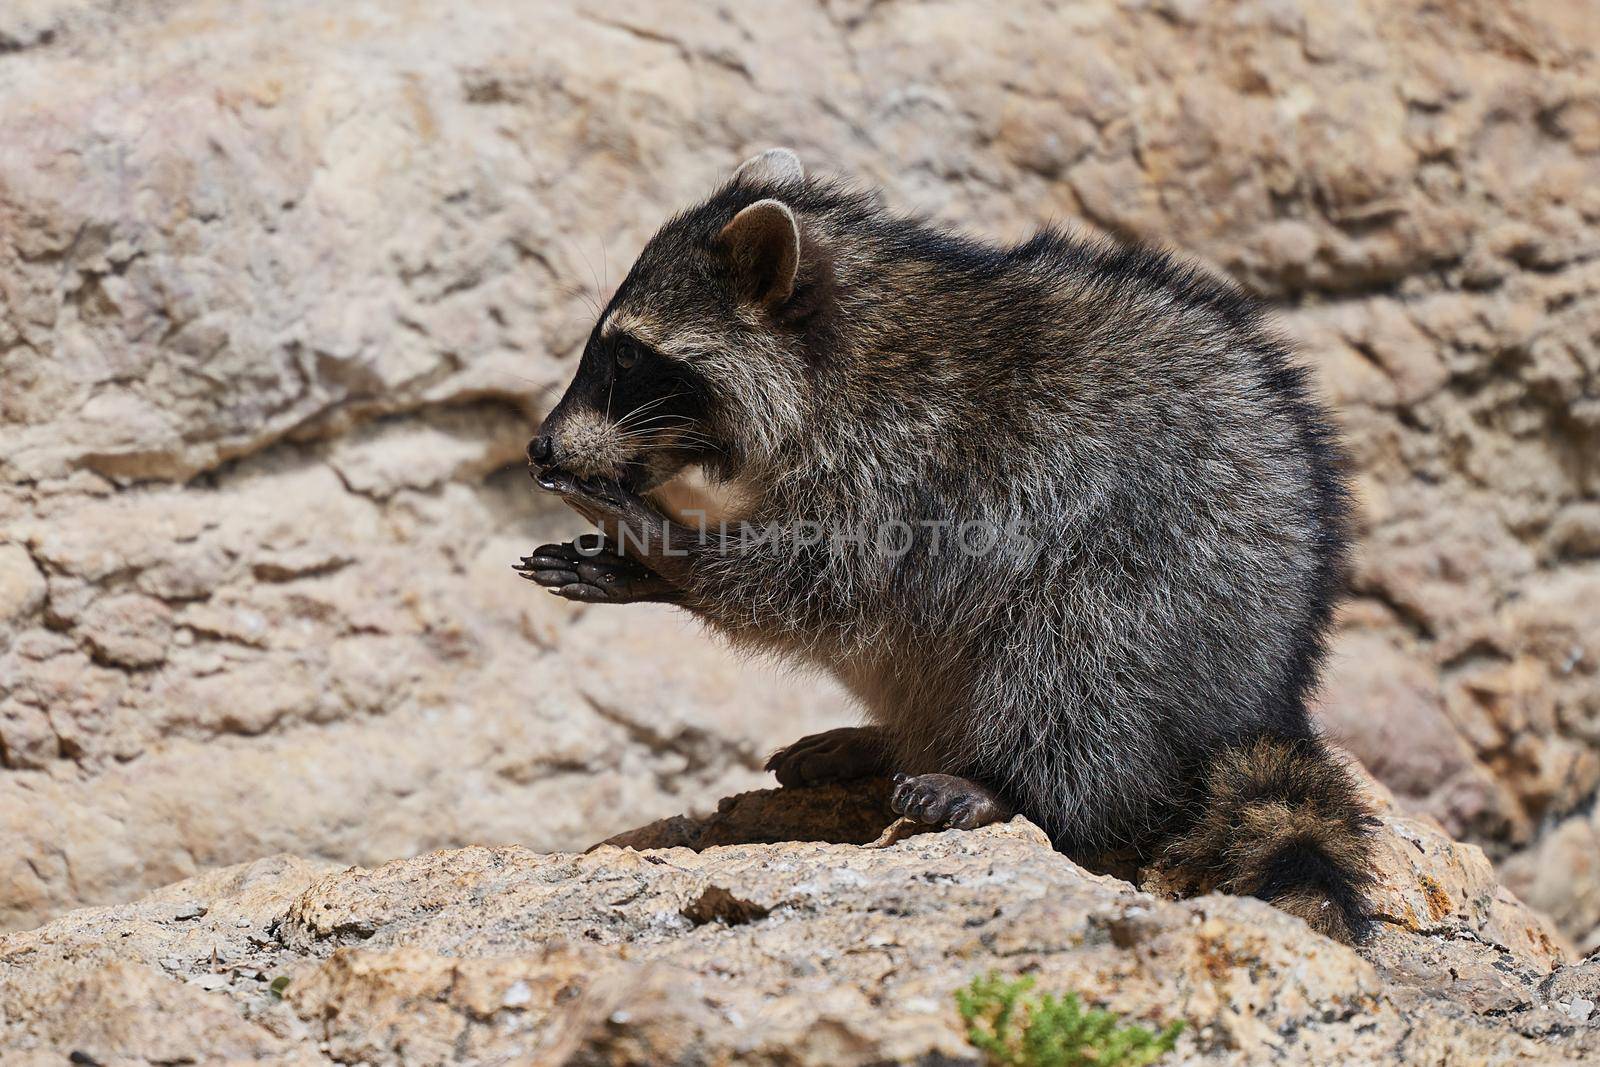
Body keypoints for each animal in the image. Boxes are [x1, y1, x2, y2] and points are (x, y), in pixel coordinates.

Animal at [521, 146, 1376, 940]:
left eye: (626, 354)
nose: (539, 446)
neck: (846, 336)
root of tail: (1264, 698)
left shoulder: (909, 457)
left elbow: (816, 577)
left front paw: (668, 550)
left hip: (1176, 582)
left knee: (1077, 657)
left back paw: (1009, 781)